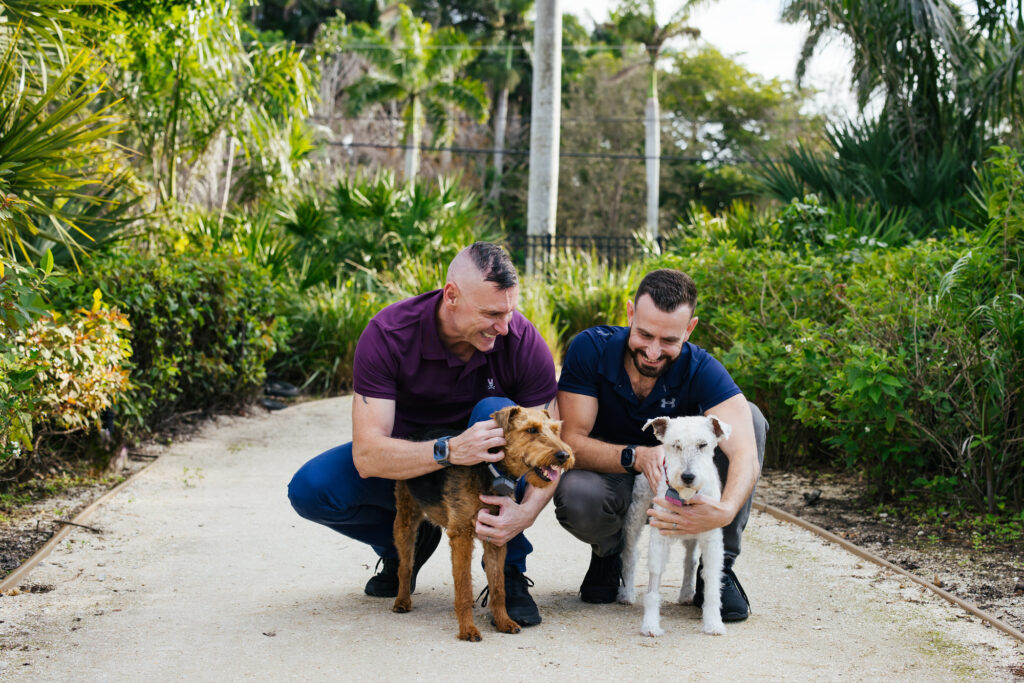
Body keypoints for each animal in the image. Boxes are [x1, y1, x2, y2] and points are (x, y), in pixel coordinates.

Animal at [389, 409, 573, 643]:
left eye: (556, 430)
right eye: (531, 429)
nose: (564, 455)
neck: (490, 470)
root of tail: (415, 434)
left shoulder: (497, 534)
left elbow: (498, 587)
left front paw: (504, 622)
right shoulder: (461, 534)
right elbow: (464, 587)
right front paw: (468, 629)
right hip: (405, 520)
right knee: (405, 565)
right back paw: (402, 601)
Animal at [610, 413, 733, 638]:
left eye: (703, 444)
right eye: (675, 445)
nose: (687, 477)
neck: (685, 497)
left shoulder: (711, 539)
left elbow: (712, 583)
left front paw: (713, 623)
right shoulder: (659, 538)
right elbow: (653, 585)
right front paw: (650, 625)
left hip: (692, 536)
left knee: (689, 561)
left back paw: (685, 593)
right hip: (636, 515)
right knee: (630, 555)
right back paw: (627, 593)